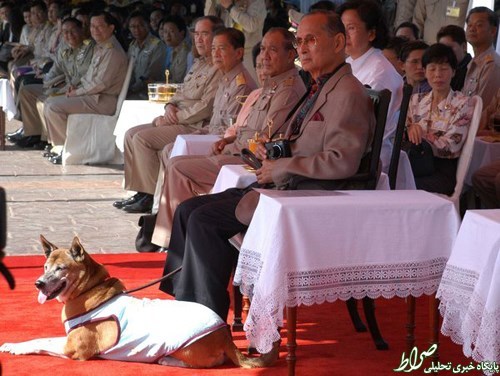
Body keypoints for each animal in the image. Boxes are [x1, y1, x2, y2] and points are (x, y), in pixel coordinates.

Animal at [0, 235, 278, 368]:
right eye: (45, 267)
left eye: (61, 269)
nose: (38, 283)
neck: (89, 290)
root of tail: (225, 335)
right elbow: (42, 338)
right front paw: (14, 344)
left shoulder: (73, 348)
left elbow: (42, 341)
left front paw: (17, 348)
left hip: (185, 346)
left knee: (210, 363)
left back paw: (167, 360)